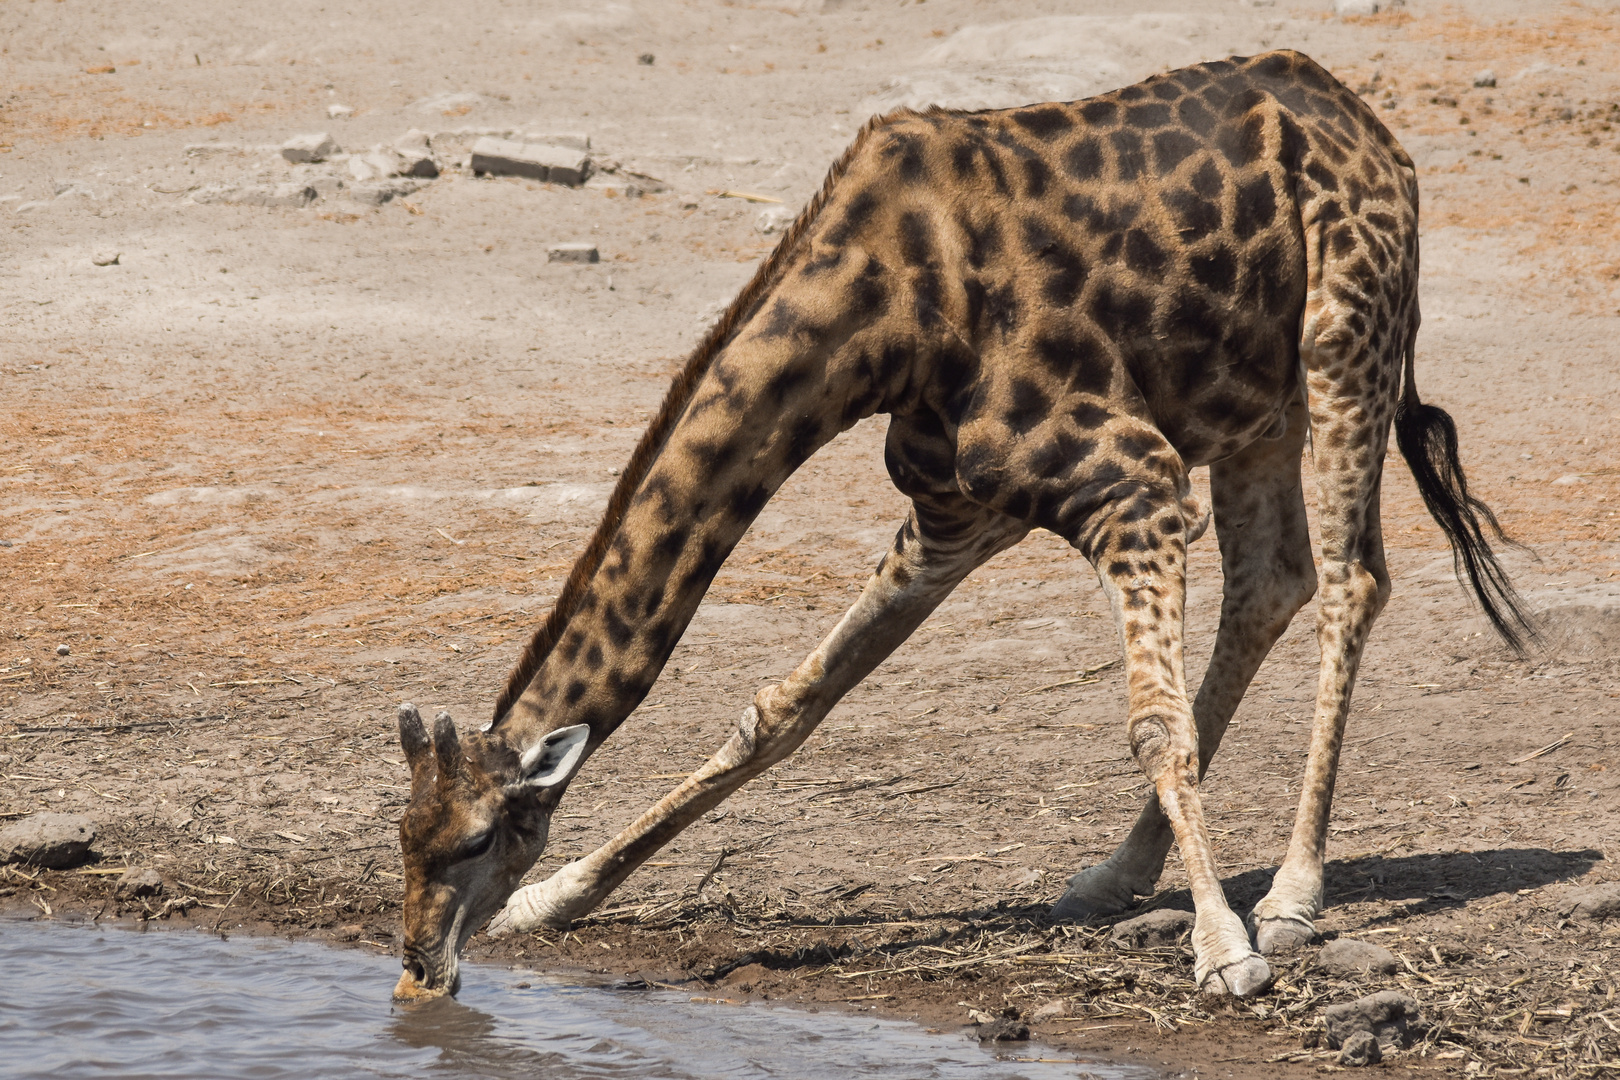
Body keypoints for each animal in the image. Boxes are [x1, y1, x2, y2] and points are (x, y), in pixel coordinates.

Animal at [388, 48, 1529, 997]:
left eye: (479, 839)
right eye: (403, 833)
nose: (417, 968)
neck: (882, 316)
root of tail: (1374, 132)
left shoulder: (1133, 481)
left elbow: (1151, 723)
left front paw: (1225, 949)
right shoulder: (956, 515)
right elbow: (782, 708)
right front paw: (562, 898)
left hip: (1348, 340)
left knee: (1350, 581)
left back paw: (1289, 896)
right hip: (1256, 399)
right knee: (1274, 580)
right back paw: (1112, 876)